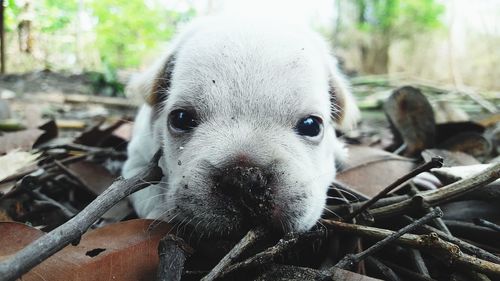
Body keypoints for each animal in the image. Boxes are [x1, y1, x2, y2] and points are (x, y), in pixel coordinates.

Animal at [122, 17, 358, 236]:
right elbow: (146, 193)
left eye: (311, 125)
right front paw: (161, 215)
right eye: (180, 119)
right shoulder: (137, 163)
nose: (245, 180)